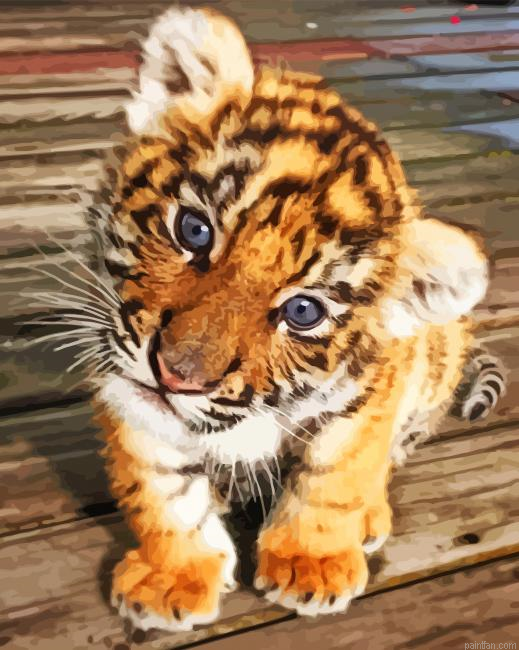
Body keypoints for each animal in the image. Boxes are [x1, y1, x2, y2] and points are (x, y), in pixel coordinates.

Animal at [86, 5, 497, 633]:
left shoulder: (368, 395)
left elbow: (335, 476)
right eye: (193, 230)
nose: (176, 375)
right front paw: (173, 577)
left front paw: (312, 566)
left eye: (303, 312)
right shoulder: (124, 382)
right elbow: (160, 488)